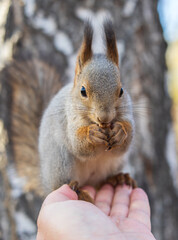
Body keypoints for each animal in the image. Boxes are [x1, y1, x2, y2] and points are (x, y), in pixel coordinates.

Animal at [38, 19, 136, 199]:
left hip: (115, 163)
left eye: (121, 91)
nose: (105, 118)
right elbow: (78, 143)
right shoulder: (69, 118)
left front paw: (120, 131)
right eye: (83, 91)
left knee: (103, 181)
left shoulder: (127, 111)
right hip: (60, 161)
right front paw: (92, 134)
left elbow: (126, 138)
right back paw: (77, 190)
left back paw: (118, 178)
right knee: (60, 184)